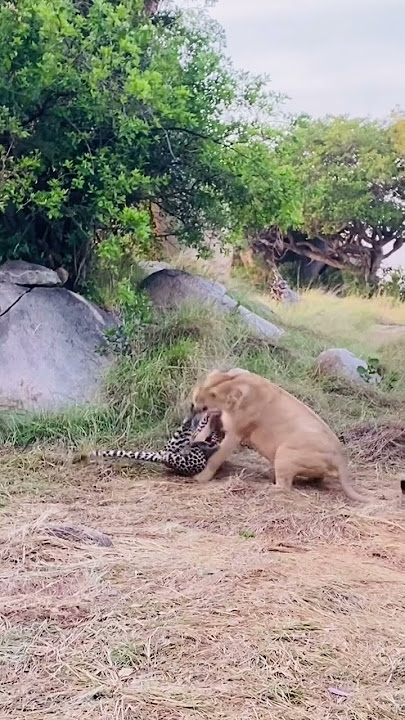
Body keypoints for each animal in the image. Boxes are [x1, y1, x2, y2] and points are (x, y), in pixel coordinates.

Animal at [190, 368, 366, 502]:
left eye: (213, 396)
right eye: (206, 382)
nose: (194, 402)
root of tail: (340, 459)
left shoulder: (236, 434)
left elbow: (216, 457)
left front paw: (200, 478)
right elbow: (205, 430)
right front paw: (196, 441)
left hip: (285, 453)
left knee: (284, 487)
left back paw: (263, 486)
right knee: (315, 479)